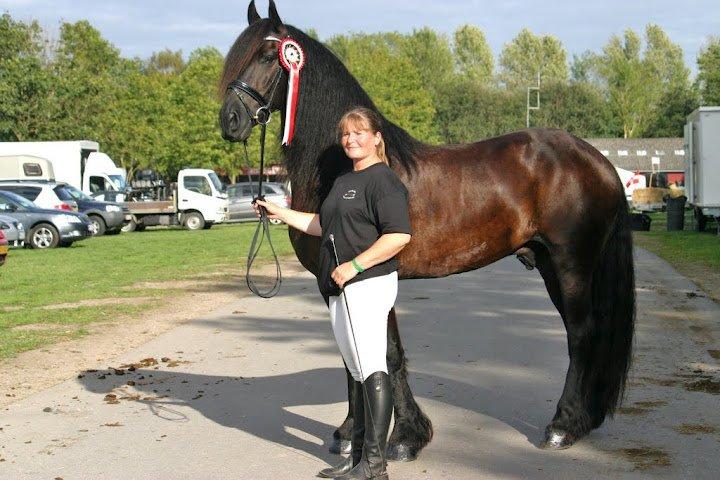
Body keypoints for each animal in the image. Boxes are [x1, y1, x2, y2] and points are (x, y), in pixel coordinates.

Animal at [218, 0, 636, 458]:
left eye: (265, 55)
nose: (230, 120)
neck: (346, 174)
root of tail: (598, 161)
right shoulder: (334, 282)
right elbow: (353, 354)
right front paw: (350, 436)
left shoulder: (371, 276)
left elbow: (386, 353)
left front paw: (402, 439)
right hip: (548, 264)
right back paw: (584, 420)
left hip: (571, 264)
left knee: (581, 334)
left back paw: (562, 426)